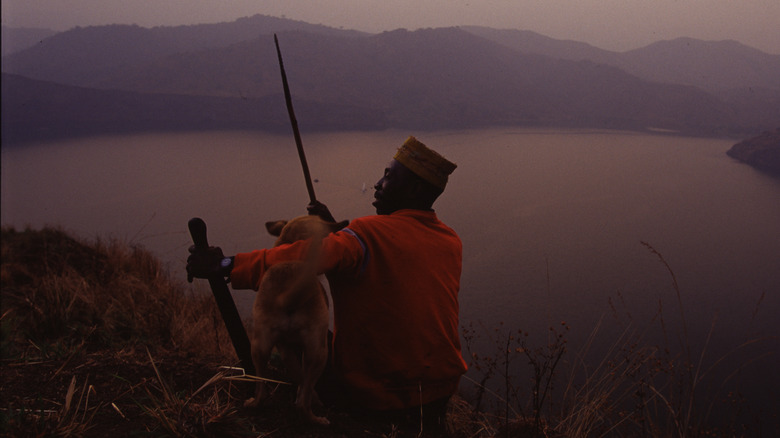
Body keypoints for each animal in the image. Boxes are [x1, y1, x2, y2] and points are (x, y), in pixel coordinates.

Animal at [245, 214, 348, 426]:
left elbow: (299, 376)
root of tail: (285, 297)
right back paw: (317, 418)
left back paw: (254, 403)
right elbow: (304, 383)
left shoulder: (284, 348)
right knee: (303, 404)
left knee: (261, 388)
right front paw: (312, 398)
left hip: (259, 346)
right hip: (319, 352)